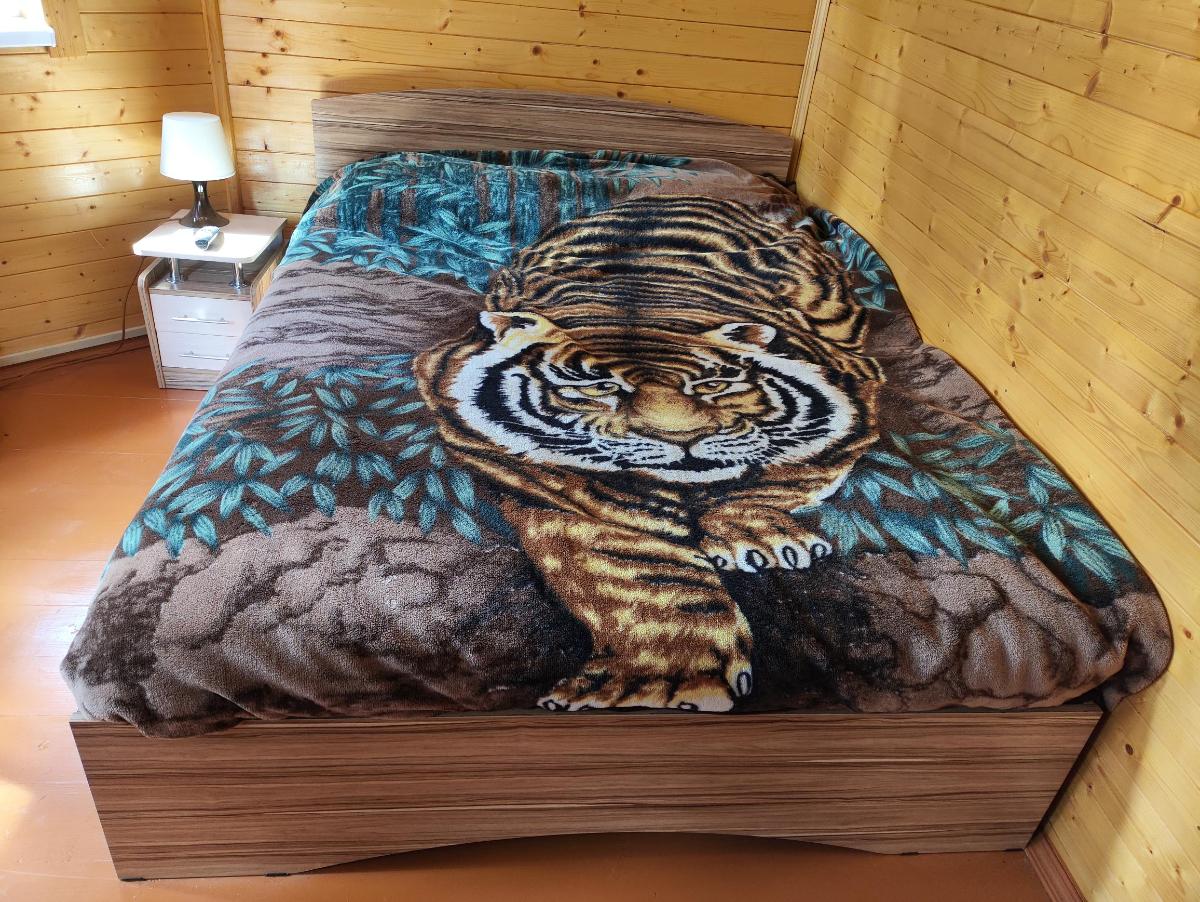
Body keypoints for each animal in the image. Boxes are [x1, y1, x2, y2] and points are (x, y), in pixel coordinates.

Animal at [415, 195, 884, 712]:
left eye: (712, 385)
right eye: (599, 388)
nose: (684, 438)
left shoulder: (857, 395)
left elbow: (785, 473)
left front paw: (757, 533)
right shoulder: (518, 466)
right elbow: (633, 565)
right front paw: (658, 680)